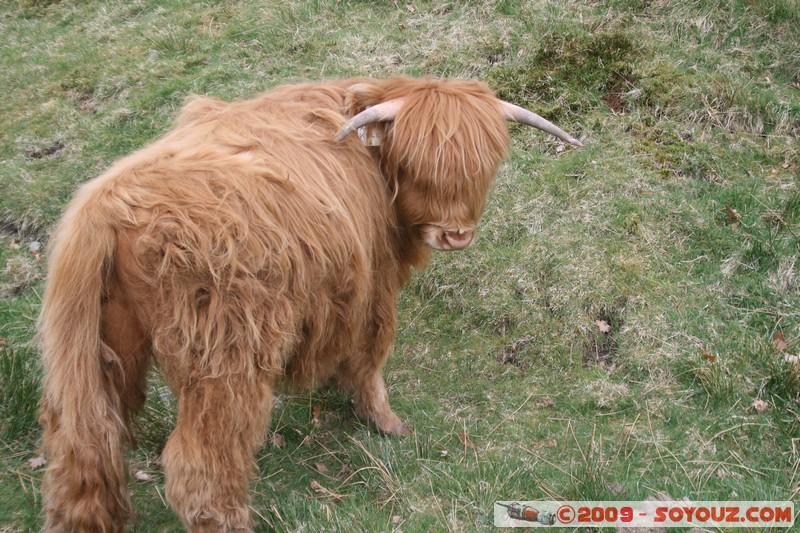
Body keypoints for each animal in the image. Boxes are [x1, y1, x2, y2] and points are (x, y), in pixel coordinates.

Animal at [37, 76, 581, 532]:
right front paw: (384, 421)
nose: (456, 234)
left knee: (86, 453)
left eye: (482, 167)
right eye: (416, 165)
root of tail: (108, 205)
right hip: (224, 361)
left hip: (101, 354)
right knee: (202, 465)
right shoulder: (372, 283)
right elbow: (371, 352)